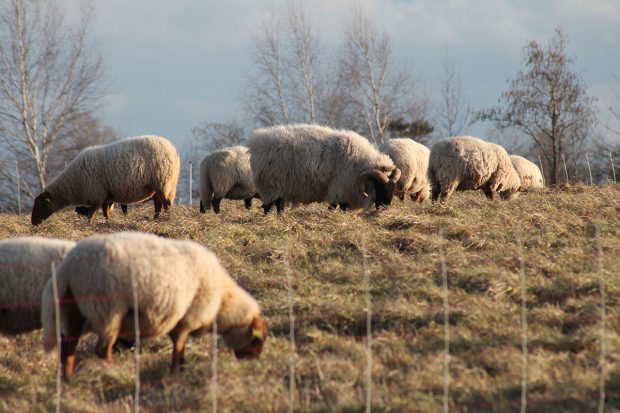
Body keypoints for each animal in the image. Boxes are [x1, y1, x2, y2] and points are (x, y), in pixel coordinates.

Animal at [31, 135, 180, 225]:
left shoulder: (96, 196)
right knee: (159, 205)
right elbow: (105, 212)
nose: (33, 223)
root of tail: (173, 150)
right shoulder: (105, 196)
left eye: (41, 205)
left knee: (167, 204)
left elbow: (91, 215)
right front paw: (107, 222)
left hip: (163, 183)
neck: (74, 183)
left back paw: (167, 219)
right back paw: (156, 219)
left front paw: (88, 226)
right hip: (156, 187)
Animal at [40, 230, 268, 378]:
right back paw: (115, 369)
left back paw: (67, 379)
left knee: (68, 347)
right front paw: (177, 372)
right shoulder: (186, 318)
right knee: (102, 349)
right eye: (257, 340)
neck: (221, 303)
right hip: (108, 309)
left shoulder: (179, 319)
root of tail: (67, 269)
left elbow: (179, 346)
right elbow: (178, 345)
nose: (254, 364)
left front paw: (180, 369)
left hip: (73, 310)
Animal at [248, 123, 402, 214]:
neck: (361, 163)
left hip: (279, 186)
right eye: (380, 188)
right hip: (270, 184)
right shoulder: (341, 186)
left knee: (279, 204)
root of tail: (256, 142)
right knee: (269, 206)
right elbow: (337, 206)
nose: (386, 208)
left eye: (393, 189)